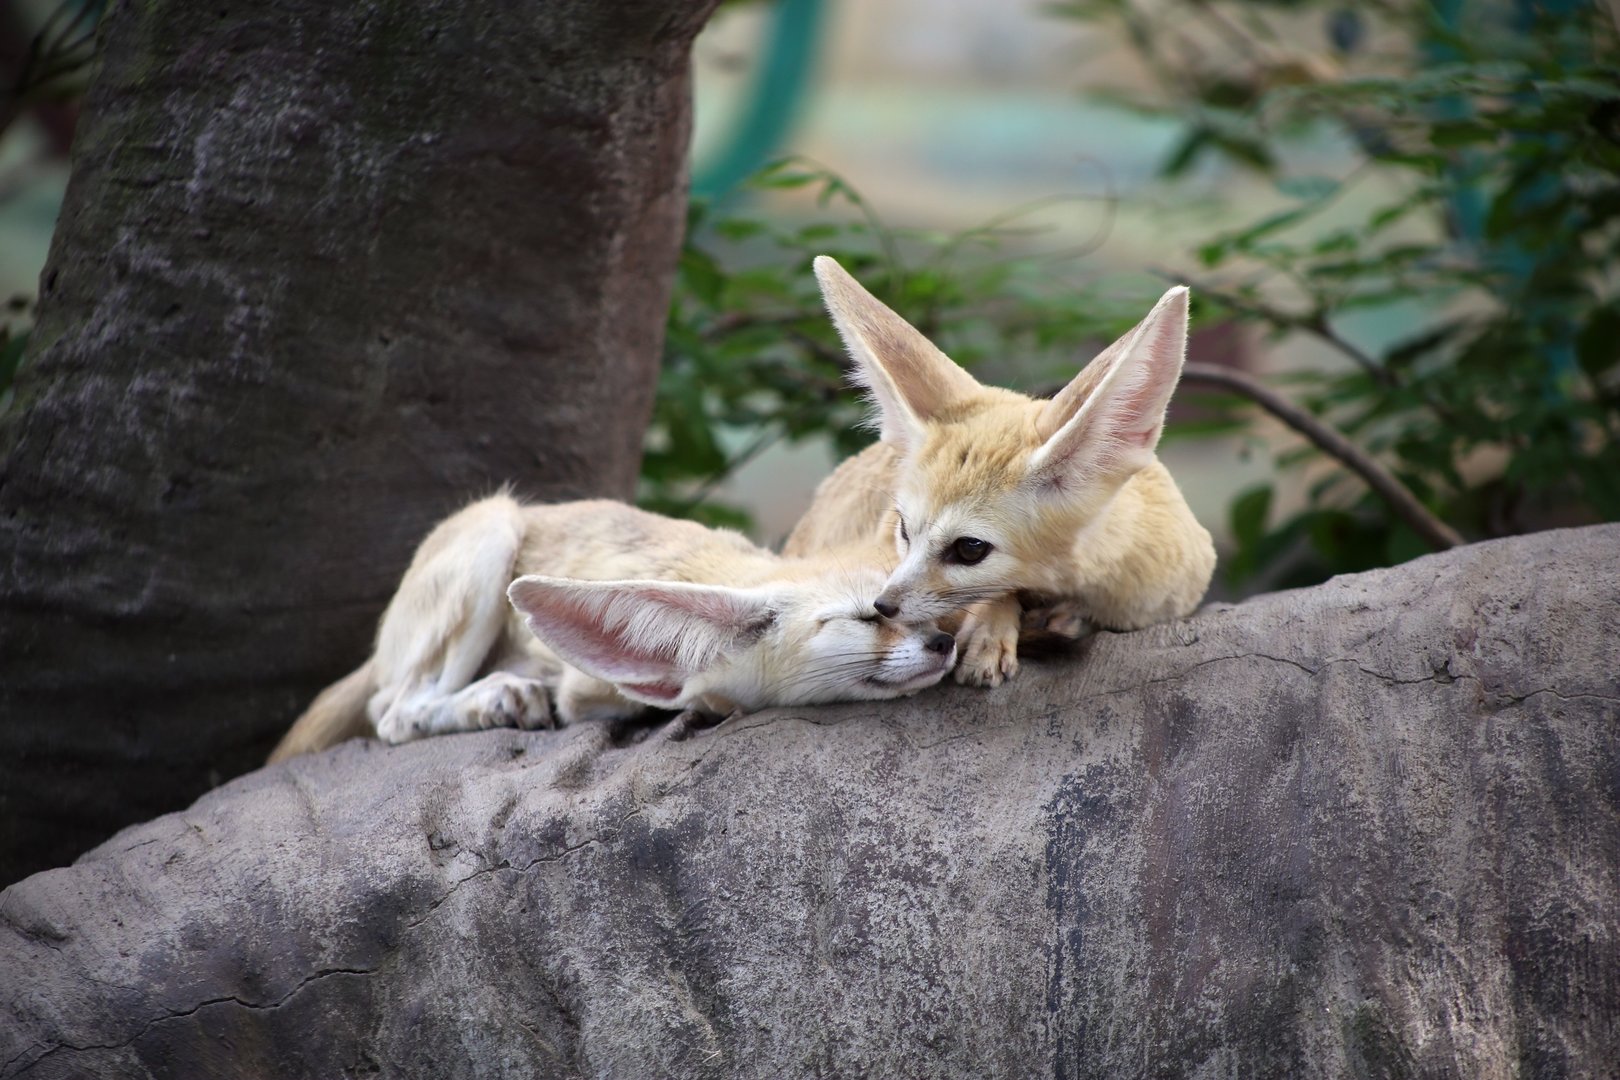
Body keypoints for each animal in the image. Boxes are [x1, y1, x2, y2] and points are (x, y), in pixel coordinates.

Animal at [268, 493, 957, 763]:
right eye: (869, 616)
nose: (945, 642)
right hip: (493, 529)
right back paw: (496, 697)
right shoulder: (584, 690)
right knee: (392, 710)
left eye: (936, 613)